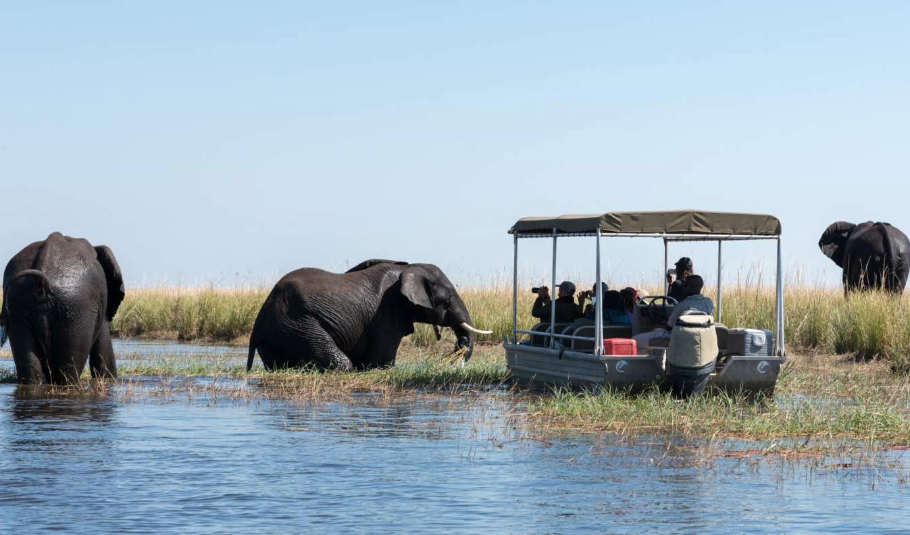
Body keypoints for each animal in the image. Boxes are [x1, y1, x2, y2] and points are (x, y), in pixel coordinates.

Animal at [0, 233, 125, 386]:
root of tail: (43, 267)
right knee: (69, 369)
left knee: (29, 366)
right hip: (77, 306)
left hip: (19, 303)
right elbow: (103, 350)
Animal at [246, 260, 492, 372]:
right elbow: (381, 362)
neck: (411, 268)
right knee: (341, 362)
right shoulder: (388, 312)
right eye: (449, 298)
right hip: (297, 324)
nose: (460, 342)